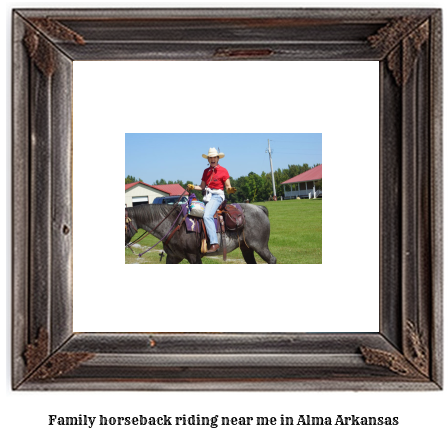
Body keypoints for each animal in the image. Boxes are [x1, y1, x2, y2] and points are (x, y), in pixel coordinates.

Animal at [125, 202, 276, 264]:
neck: (174, 224)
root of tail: (259, 208)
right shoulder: (173, 257)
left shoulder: (194, 256)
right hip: (247, 248)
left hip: (260, 246)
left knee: (272, 260)